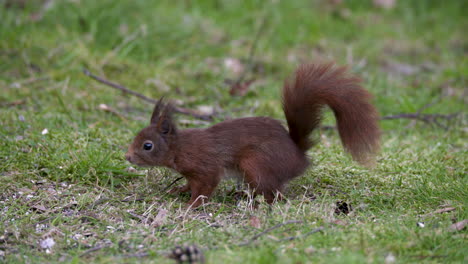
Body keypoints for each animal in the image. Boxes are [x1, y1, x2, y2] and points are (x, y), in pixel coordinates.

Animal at [125, 63, 380, 206]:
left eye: (147, 145)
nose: (127, 157)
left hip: (255, 163)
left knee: (274, 194)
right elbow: (189, 184)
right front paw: (179, 190)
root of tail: (299, 156)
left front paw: (191, 206)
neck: (179, 148)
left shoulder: (205, 167)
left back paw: (256, 204)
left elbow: (205, 187)